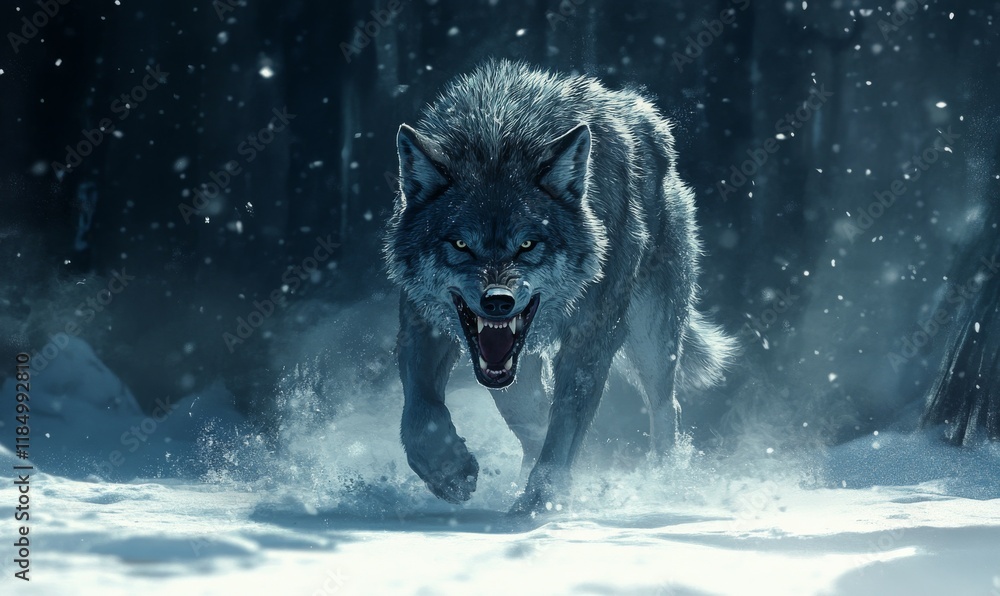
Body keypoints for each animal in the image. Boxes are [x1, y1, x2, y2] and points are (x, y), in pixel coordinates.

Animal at [384, 60, 734, 515]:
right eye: (461, 244)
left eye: (527, 244)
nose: (498, 302)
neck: (498, 131)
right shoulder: (422, 322)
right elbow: (420, 412)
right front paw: (450, 473)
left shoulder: (593, 336)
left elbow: (564, 429)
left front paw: (540, 504)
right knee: (525, 407)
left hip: (652, 335)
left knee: (666, 407)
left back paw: (667, 484)